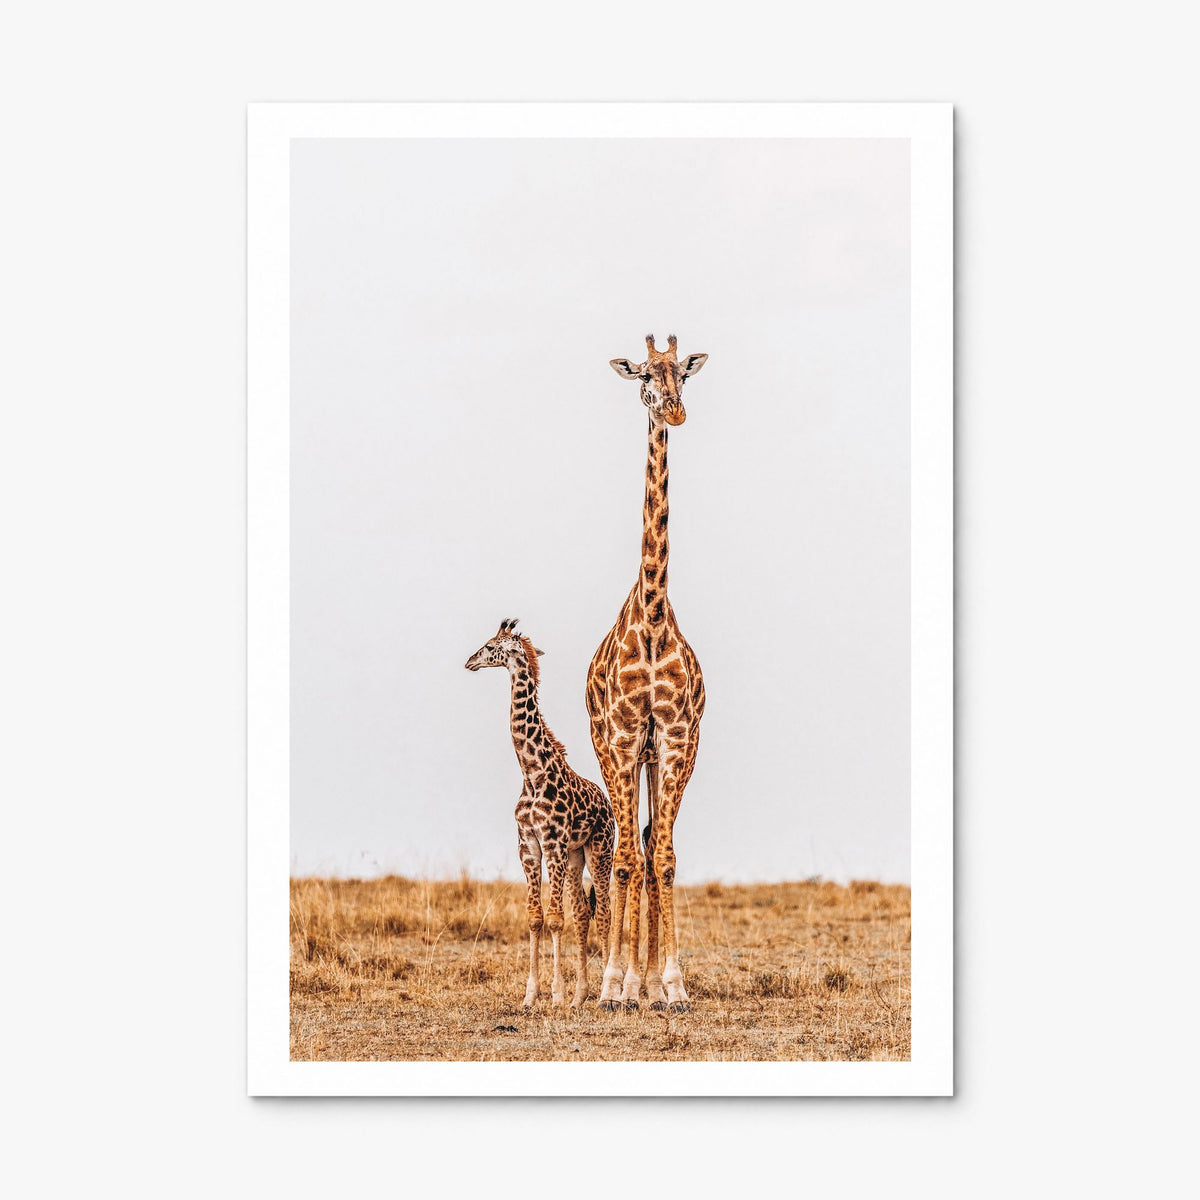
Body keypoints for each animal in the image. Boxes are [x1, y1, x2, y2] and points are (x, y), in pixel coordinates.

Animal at [465, 618, 615, 1008]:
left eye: (490, 646)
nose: (469, 661)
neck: (532, 773)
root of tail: (607, 805)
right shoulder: (528, 844)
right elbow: (535, 918)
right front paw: (531, 995)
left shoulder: (554, 843)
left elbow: (556, 918)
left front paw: (556, 994)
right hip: (577, 855)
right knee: (583, 913)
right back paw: (581, 996)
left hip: (599, 850)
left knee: (606, 911)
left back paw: (606, 992)